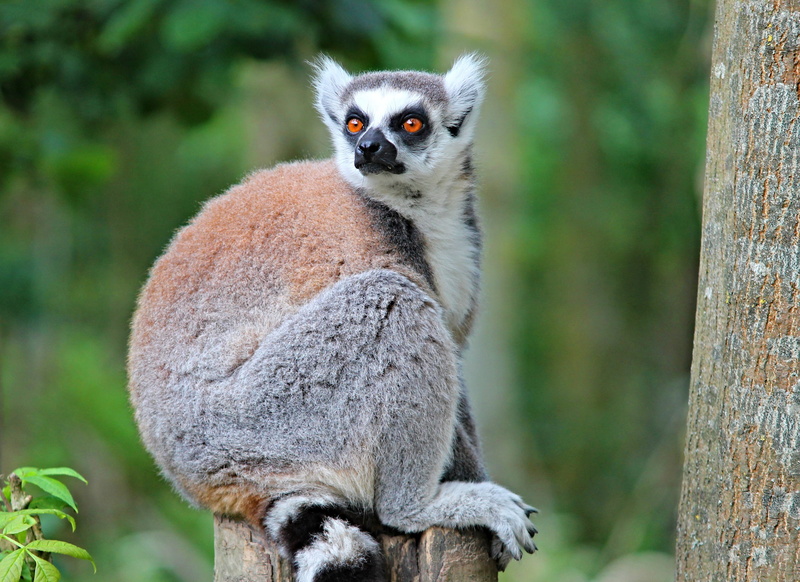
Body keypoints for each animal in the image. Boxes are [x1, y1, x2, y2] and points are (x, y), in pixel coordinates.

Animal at [128, 54, 537, 582]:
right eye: (355, 122)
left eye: (410, 122)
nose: (367, 147)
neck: (419, 210)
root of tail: (190, 474)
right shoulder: (362, 246)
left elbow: (455, 362)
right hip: (264, 419)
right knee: (391, 302)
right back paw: (414, 506)